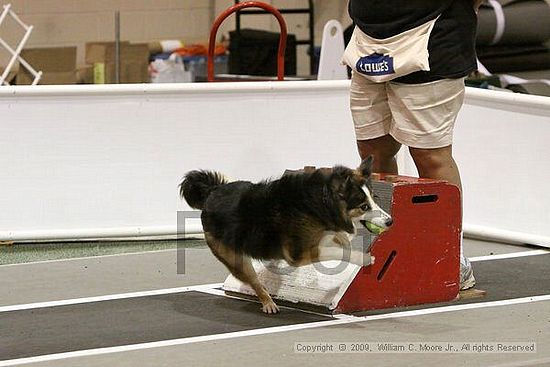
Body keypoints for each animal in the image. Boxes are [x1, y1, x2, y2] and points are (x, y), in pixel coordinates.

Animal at [180, 157, 392, 314]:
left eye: (375, 198)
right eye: (364, 207)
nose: (390, 221)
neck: (320, 203)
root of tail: (212, 191)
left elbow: (339, 240)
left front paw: (346, 241)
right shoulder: (298, 253)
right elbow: (336, 252)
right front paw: (364, 258)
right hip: (235, 258)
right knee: (255, 281)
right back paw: (268, 303)